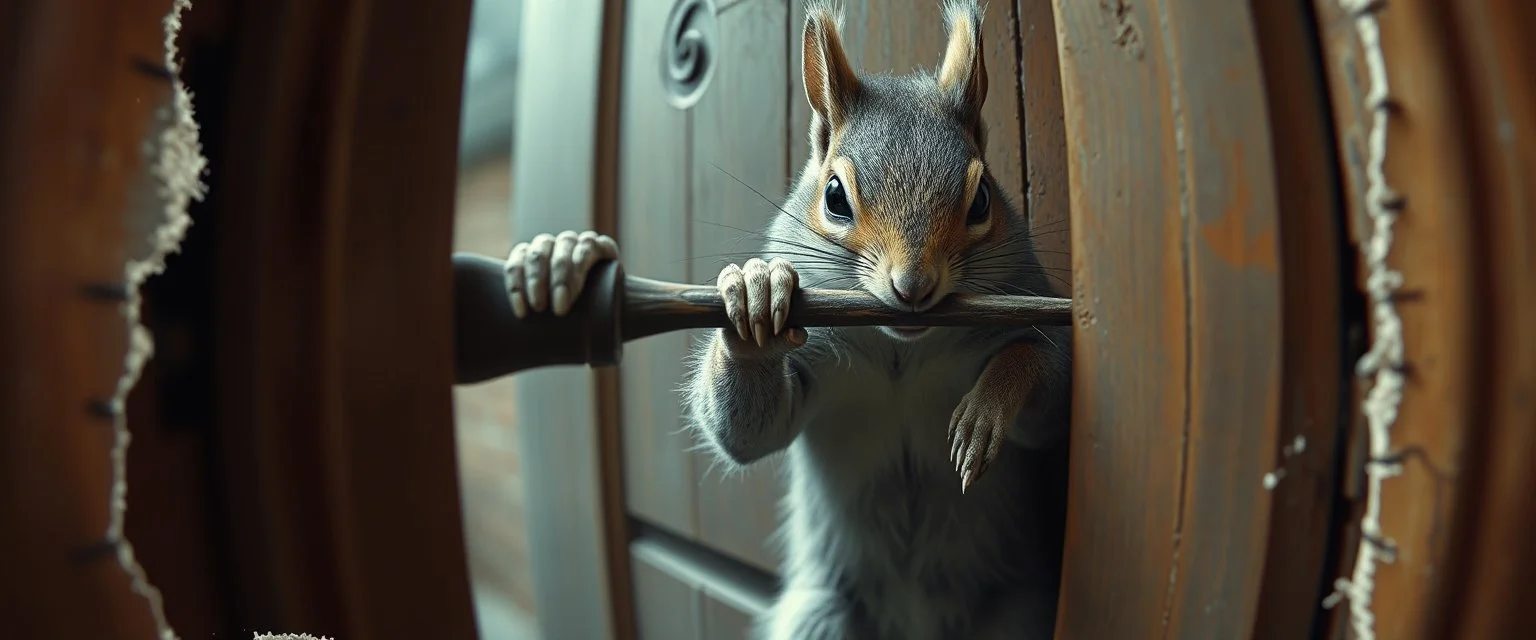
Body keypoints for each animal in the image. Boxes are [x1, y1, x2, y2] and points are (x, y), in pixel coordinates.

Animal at [504, 2, 1070, 638]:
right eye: (834, 197)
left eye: (982, 201)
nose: (913, 286)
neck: (900, 353)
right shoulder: (814, 372)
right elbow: (751, 432)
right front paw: (755, 296)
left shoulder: (1032, 313)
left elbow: (1048, 384)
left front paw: (986, 411)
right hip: (820, 617)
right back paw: (560, 261)